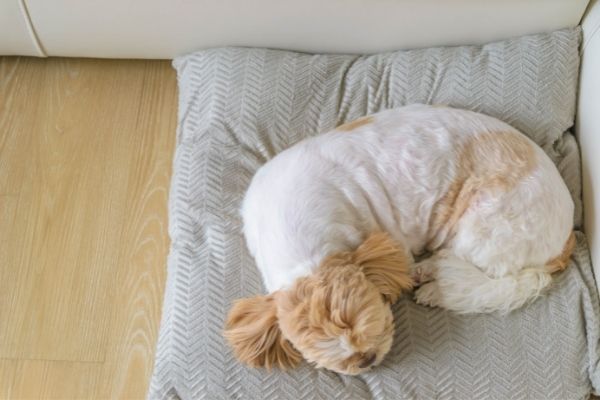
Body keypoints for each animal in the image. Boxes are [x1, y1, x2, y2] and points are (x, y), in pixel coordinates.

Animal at [223, 103, 576, 376]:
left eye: (377, 327)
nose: (367, 359)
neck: (305, 253)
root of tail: (566, 239)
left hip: (485, 225)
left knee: (480, 274)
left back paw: (429, 281)